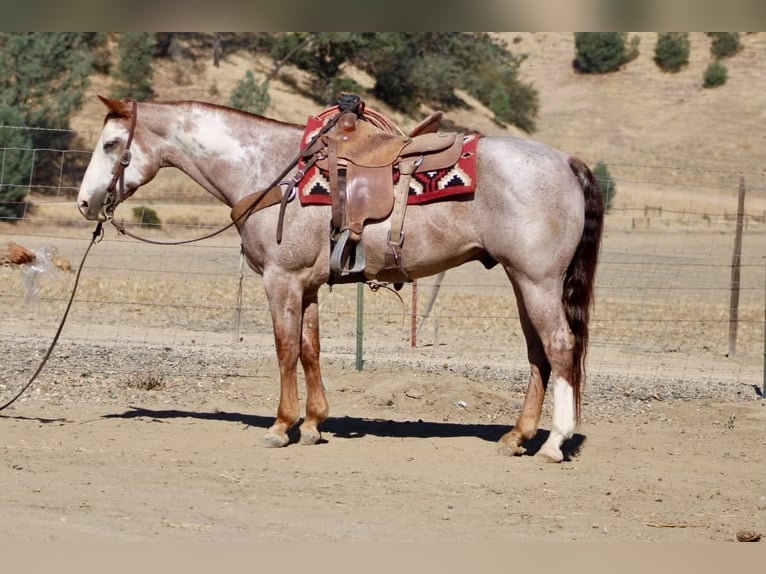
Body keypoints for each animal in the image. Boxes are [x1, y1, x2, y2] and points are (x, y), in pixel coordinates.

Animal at [77, 95, 604, 462]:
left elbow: (285, 349)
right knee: (537, 353)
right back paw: (516, 436)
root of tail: (567, 161)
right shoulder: (307, 285)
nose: (85, 202)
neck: (269, 171)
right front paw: (313, 425)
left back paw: (553, 443)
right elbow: (310, 349)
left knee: (559, 346)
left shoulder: (282, 280)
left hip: (537, 281)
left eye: (110, 144)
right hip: (522, 281)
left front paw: (281, 426)